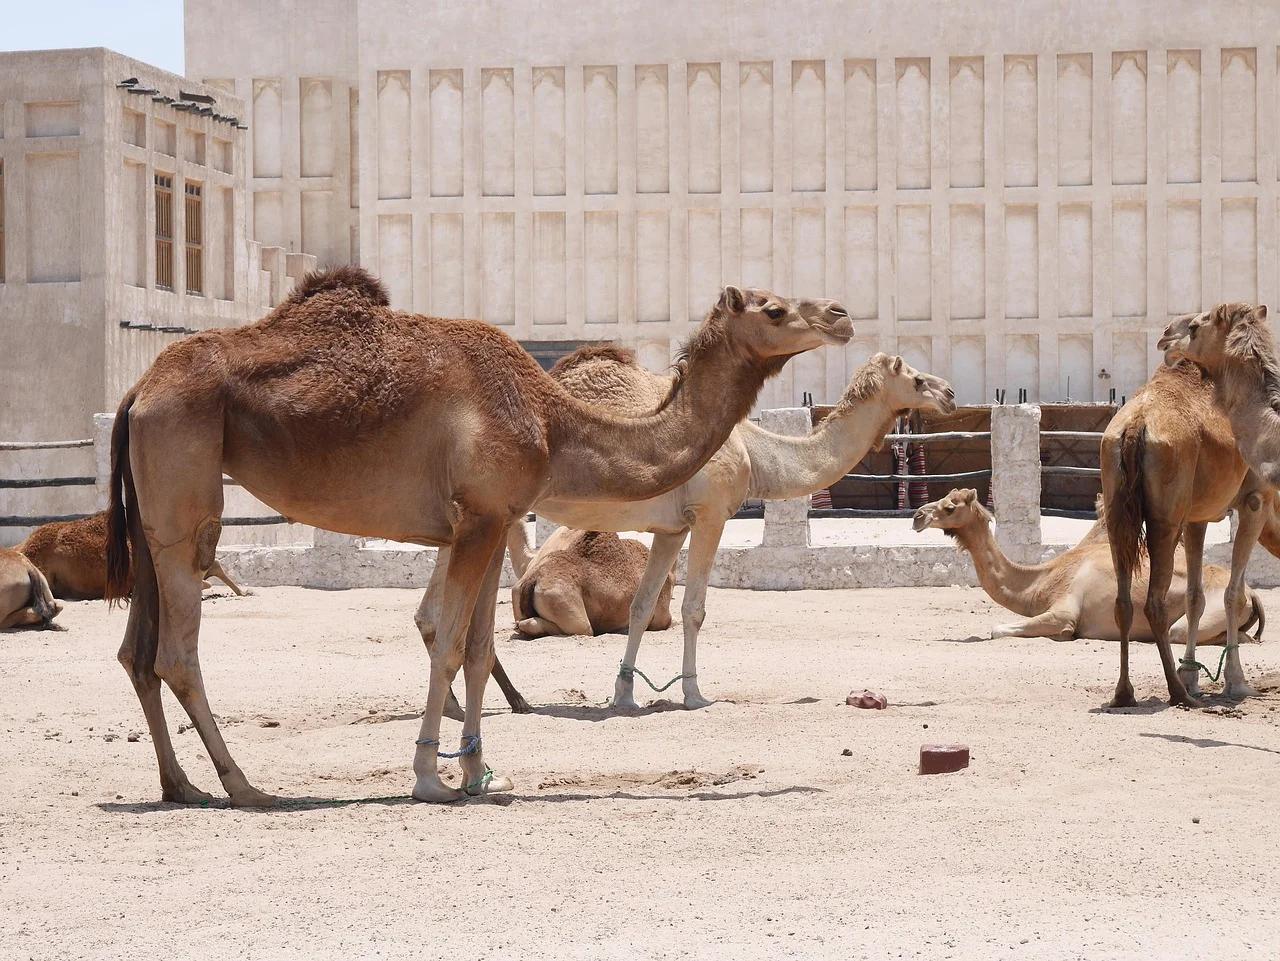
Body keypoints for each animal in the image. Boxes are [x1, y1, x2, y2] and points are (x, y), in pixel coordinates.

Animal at [912, 488, 1264, 644]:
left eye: (950, 507)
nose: (917, 515)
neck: (1042, 581)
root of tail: (1251, 594)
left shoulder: (1064, 611)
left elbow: (997, 629)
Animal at [1101, 354, 1267, 707]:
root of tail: (1135, 426)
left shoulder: (1196, 517)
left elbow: (1196, 595)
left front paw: (1193, 676)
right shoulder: (1256, 500)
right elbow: (1233, 593)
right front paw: (1237, 684)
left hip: (1115, 504)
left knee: (1123, 600)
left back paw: (1124, 693)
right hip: (1166, 514)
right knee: (1154, 601)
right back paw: (1178, 693)